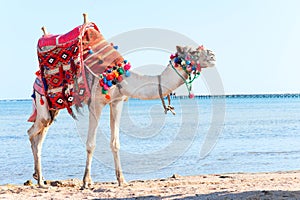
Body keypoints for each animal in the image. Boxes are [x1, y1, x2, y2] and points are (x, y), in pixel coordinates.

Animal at [27, 14, 216, 189]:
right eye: (193, 52)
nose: (213, 55)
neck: (120, 77)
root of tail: (36, 78)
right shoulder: (95, 103)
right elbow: (91, 144)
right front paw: (86, 182)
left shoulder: (117, 102)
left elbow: (115, 143)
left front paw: (121, 180)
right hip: (43, 101)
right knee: (33, 132)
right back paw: (40, 180)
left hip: (53, 108)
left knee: (39, 135)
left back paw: (39, 178)